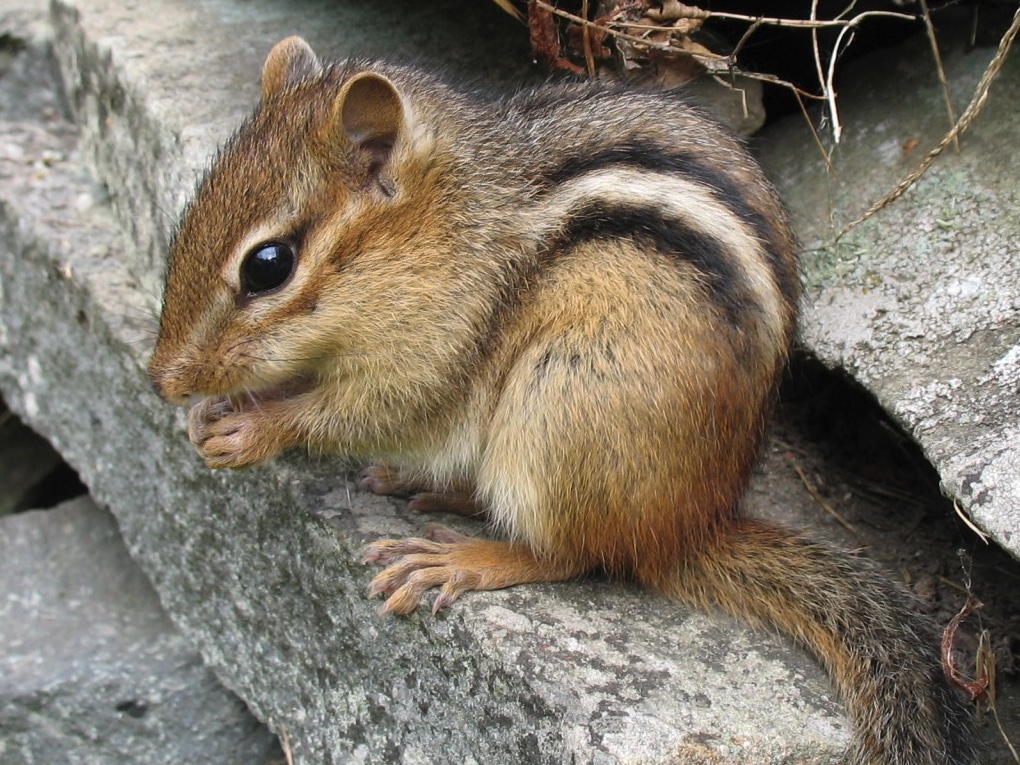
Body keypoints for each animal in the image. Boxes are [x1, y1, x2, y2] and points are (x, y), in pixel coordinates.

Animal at [148, 35, 976, 765]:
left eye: (269, 265)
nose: (161, 379)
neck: (442, 225)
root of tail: (691, 522)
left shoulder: (436, 344)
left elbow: (374, 410)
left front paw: (258, 425)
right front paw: (212, 411)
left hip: (560, 408)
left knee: (576, 553)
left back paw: (468, 556)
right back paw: (438, 489)